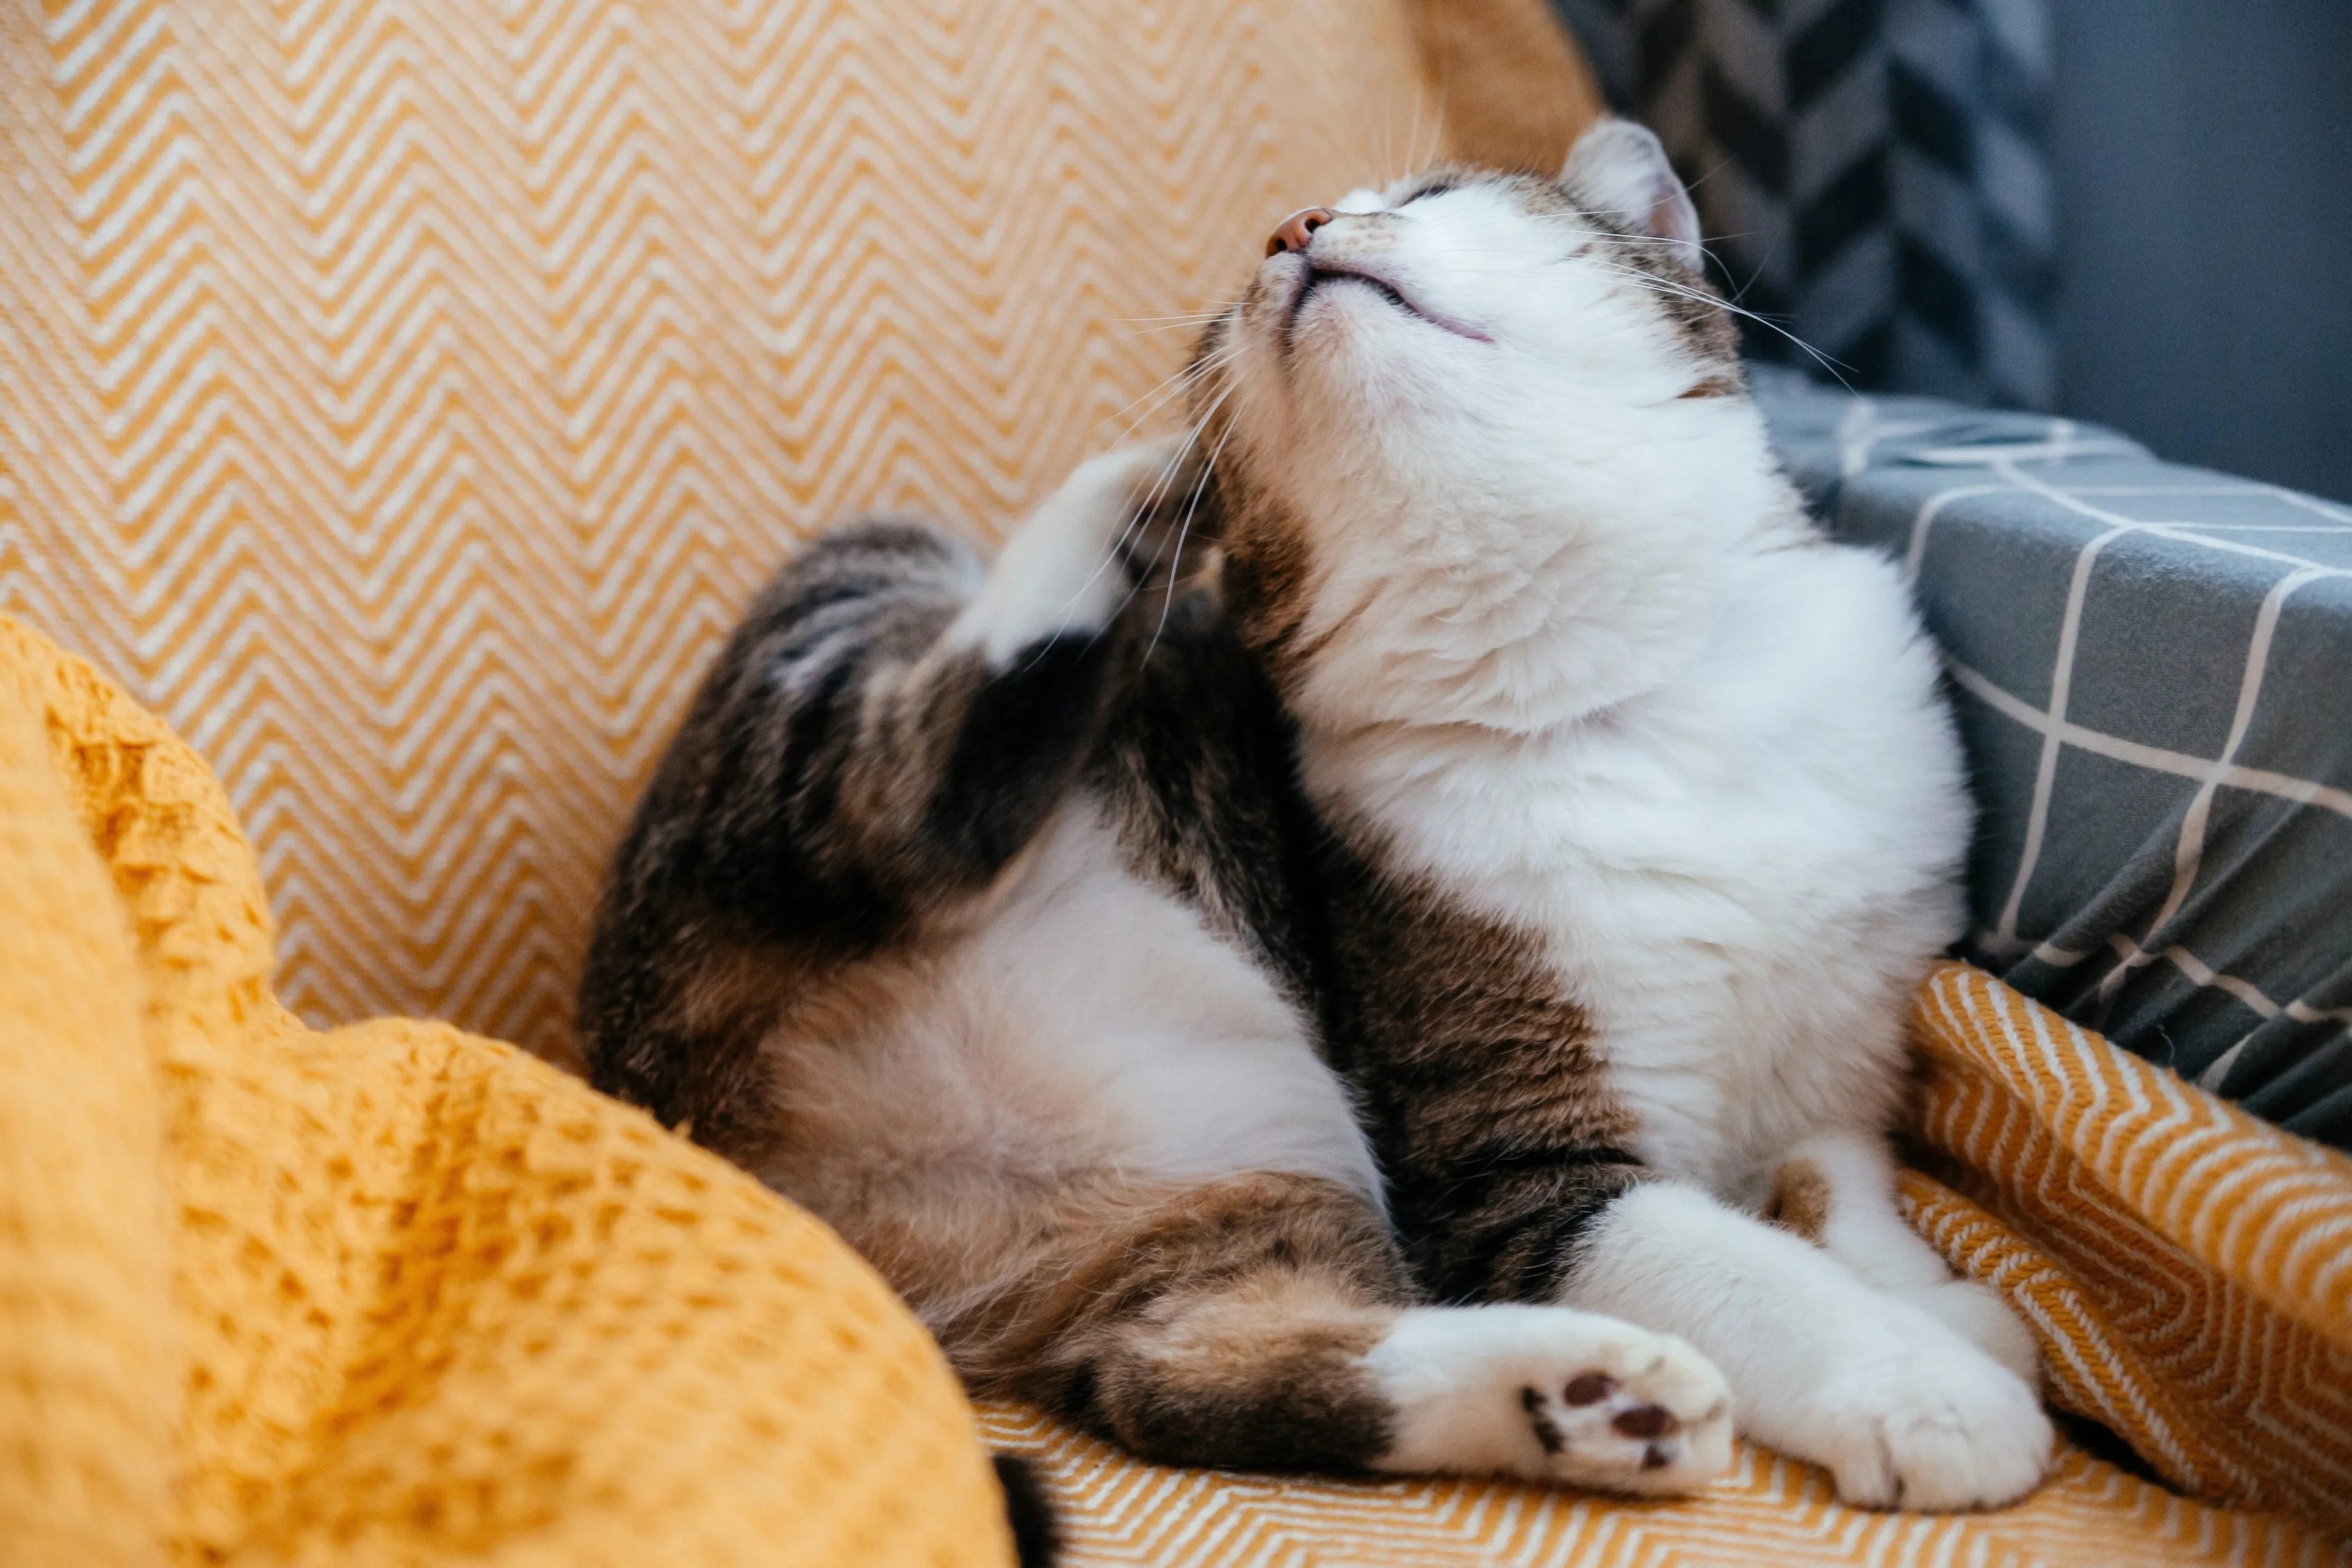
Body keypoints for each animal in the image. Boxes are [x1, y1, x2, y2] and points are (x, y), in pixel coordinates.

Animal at [578, 116, 2050, 1513]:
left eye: (1438, 195)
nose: (1293, 226)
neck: (1624, 694)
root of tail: (688, 1122)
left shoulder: (1839, 1065)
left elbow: (1842, 1191)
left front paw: (1941, 1304)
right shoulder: (1509, 1158)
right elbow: (1749, 1268)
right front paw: (1926, 1386)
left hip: (1215, 1193)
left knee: (1186, 1366)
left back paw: (1585, 1396)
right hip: (841, 637)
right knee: (899, 811)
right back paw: (1124, 515)